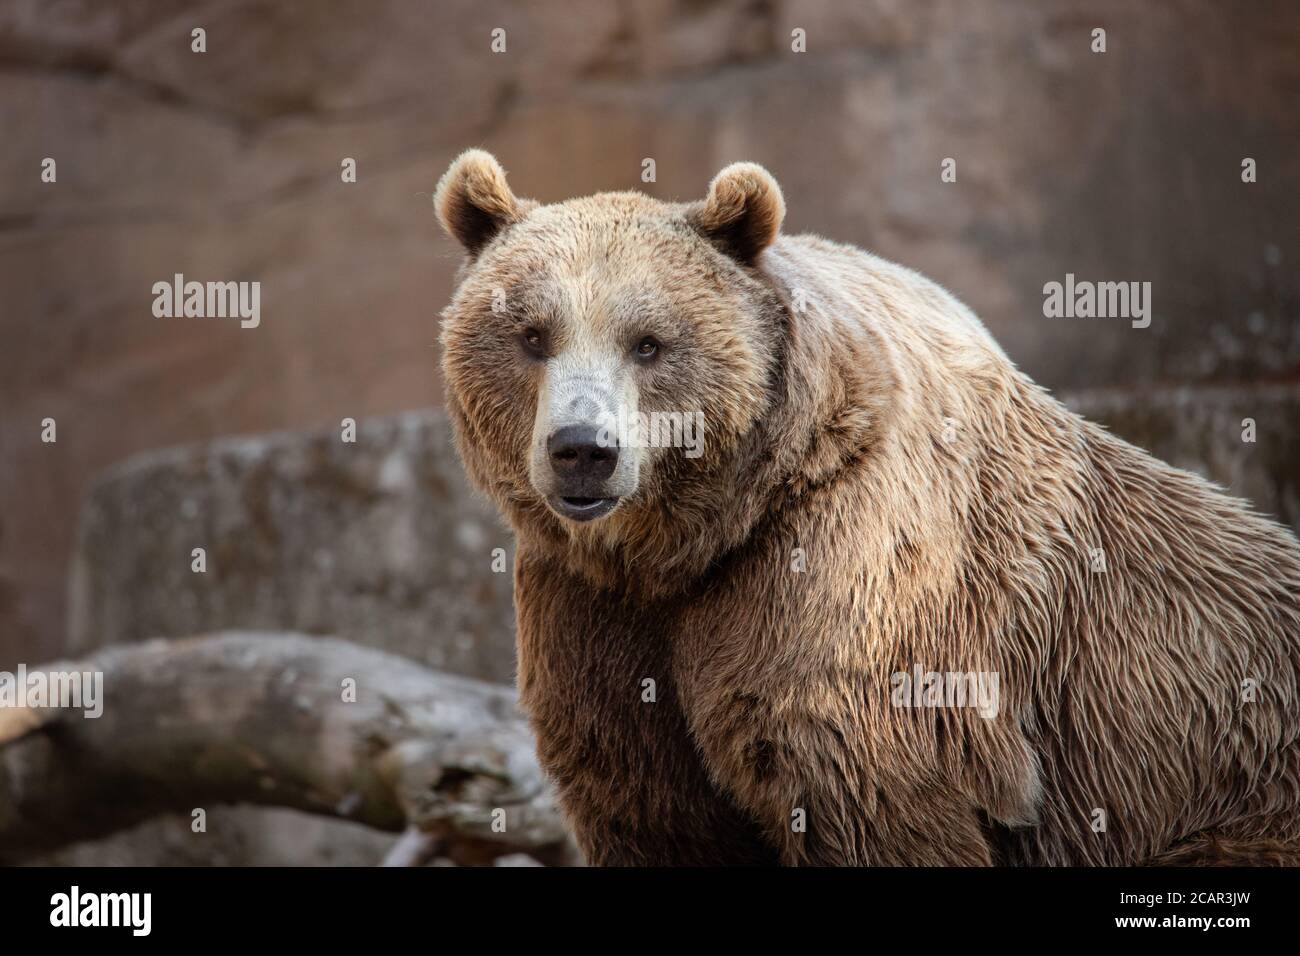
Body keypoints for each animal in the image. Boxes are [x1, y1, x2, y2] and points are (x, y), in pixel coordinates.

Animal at [434, 149, 1300, 868]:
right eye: (532, 334)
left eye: (648, 342)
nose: (584, 449)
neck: (693, 539)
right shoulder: (597, 613)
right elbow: (650, 803)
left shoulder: (846, 573)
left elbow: (862, 785)